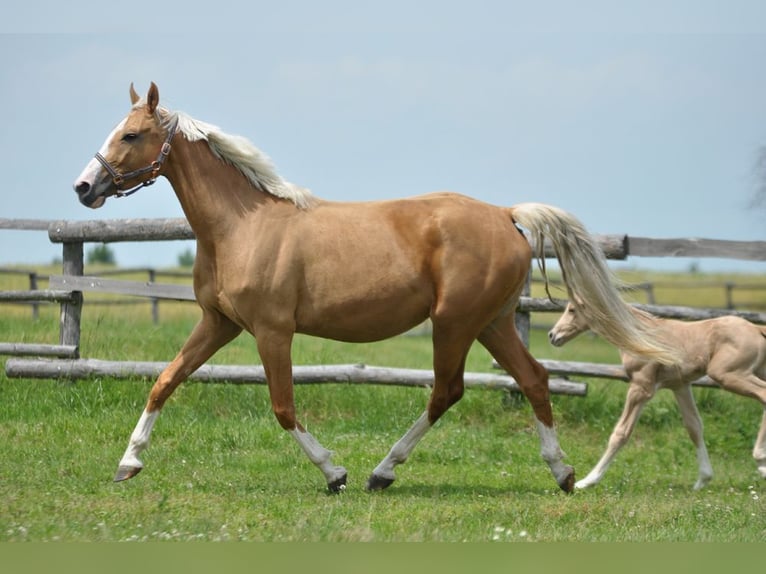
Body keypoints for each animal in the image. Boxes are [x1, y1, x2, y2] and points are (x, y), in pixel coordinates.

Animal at [72, 82, 678, 494]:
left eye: (131, 134)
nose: (84, 186)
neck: (241, 225)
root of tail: (506, 214)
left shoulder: (271, 331)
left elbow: (283, 407)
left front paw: (334, 472)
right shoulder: (218, 323)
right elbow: (164, 381)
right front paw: (128, 463)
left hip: (454, 323)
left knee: (447, 391)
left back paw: (381, 472)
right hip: (492, 322)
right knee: (533, 378)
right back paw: (562, 472)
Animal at [549, 300, 766, 490]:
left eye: (572, 309)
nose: (552, 335)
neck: (635, 335)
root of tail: (757, 329)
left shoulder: (641, 387)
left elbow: (621, 433)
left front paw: (587, 481)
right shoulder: (680, 386)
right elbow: (694, 427)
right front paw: (703, 480)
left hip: (728, 375)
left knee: (763, 394)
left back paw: (760, 459)